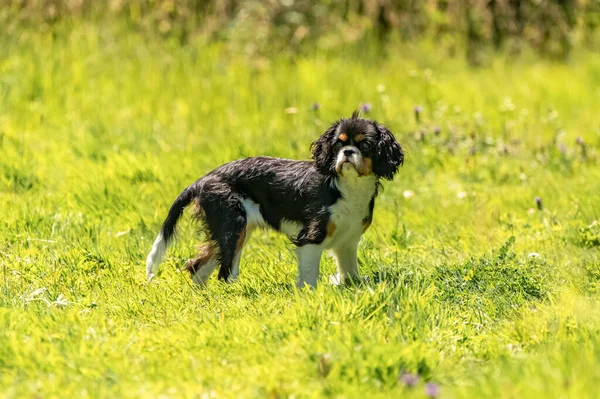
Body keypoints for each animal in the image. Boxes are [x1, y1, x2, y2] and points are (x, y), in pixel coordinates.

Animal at [146, 111, 404, 288]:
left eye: (366, 145)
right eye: (338, 144)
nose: (348, 153)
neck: (348, 186)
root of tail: (203, 179)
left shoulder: (348, 242)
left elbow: (349, 272)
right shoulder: (311, 237)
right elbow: (309, 275)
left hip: (232, 230)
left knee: (198, 267)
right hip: (233, 227)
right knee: (224, 272)